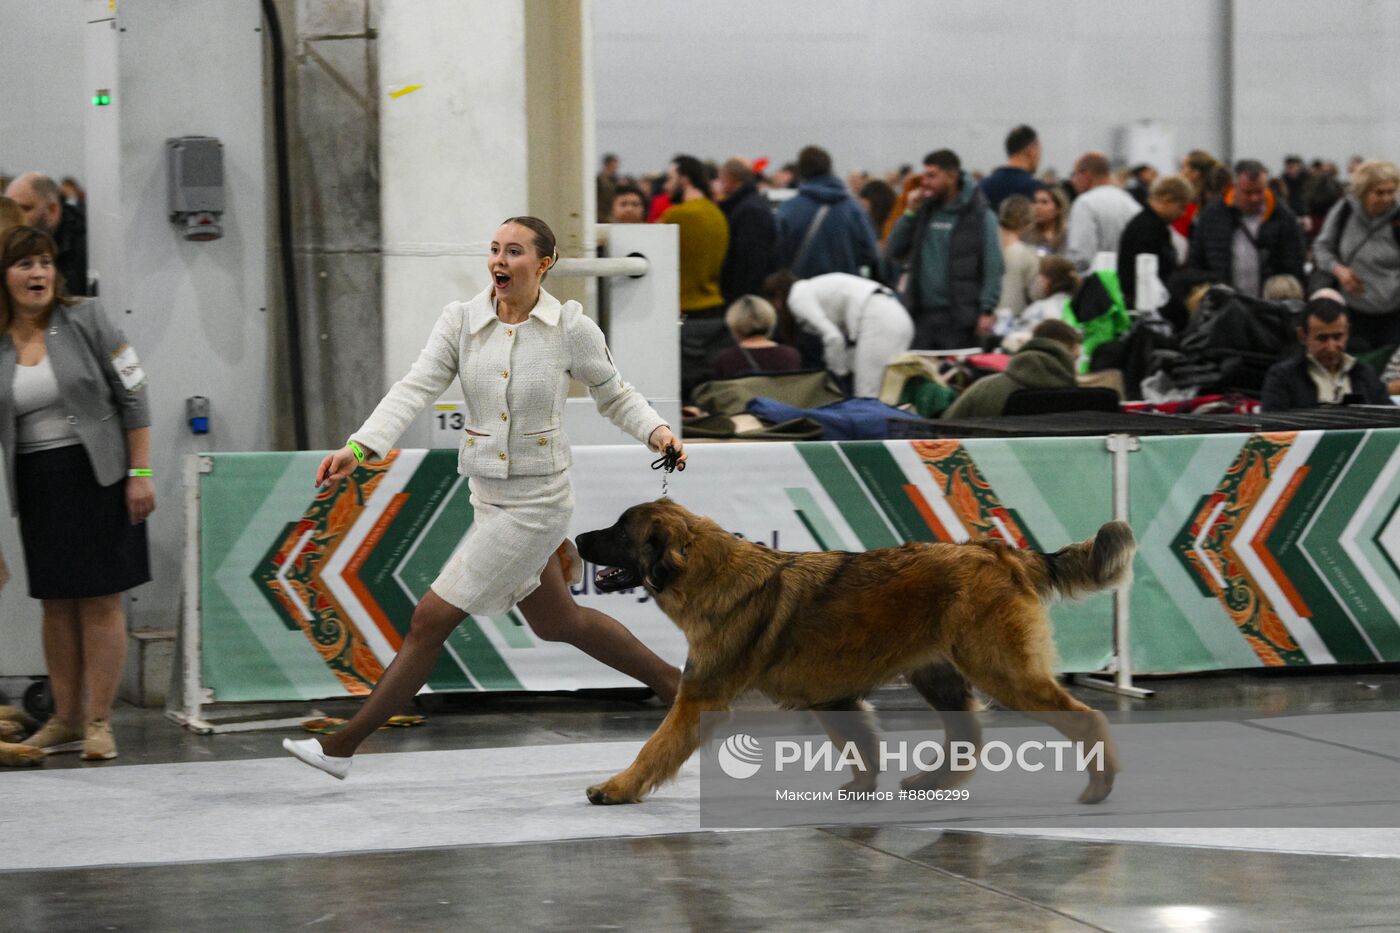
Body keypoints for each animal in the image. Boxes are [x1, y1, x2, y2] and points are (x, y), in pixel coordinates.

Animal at [574, 498, 1131, 801]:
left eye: (619, 530)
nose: (577, 539)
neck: (705, 569)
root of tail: (997, 551)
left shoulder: (699, 698)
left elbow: (655, 748)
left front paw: (617, 788)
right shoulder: (832, 697)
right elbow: (861, 745)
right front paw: (861, 787)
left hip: (1002, 670)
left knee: (1085, 719)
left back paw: (1101, 784)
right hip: (938, 673)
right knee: (966, 734)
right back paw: (933, 780)